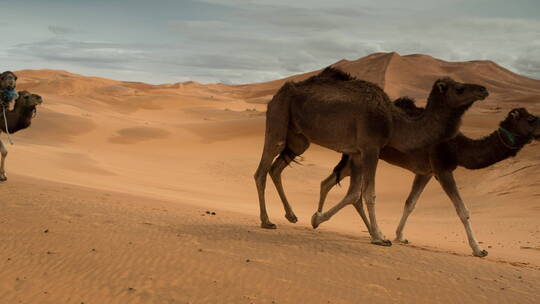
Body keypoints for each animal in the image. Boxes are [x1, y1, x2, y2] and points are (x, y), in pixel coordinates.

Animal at [254, 67, 490, 246]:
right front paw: (379, 237)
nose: (483, 89)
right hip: (279, 115)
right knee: (262, 170)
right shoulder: (370, 148)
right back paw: (267, 221)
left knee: (276, 167)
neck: (395, 121)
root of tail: (276, 95)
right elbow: (369, 194)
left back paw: (291, 216)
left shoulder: (358, 153)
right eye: (459, 88)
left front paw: (318, 218)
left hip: (299, 139)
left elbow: (355, 194)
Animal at [316, 98, 540, 255]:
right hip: (363, 153)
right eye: (531, 119)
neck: (458, 148)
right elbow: (462, 210)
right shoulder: (442, 169)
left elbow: (410, 203)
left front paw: (400, 236)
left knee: (331, 183)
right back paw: (323, 219)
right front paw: (479, 249)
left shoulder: (426, 172)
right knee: (348, 190)